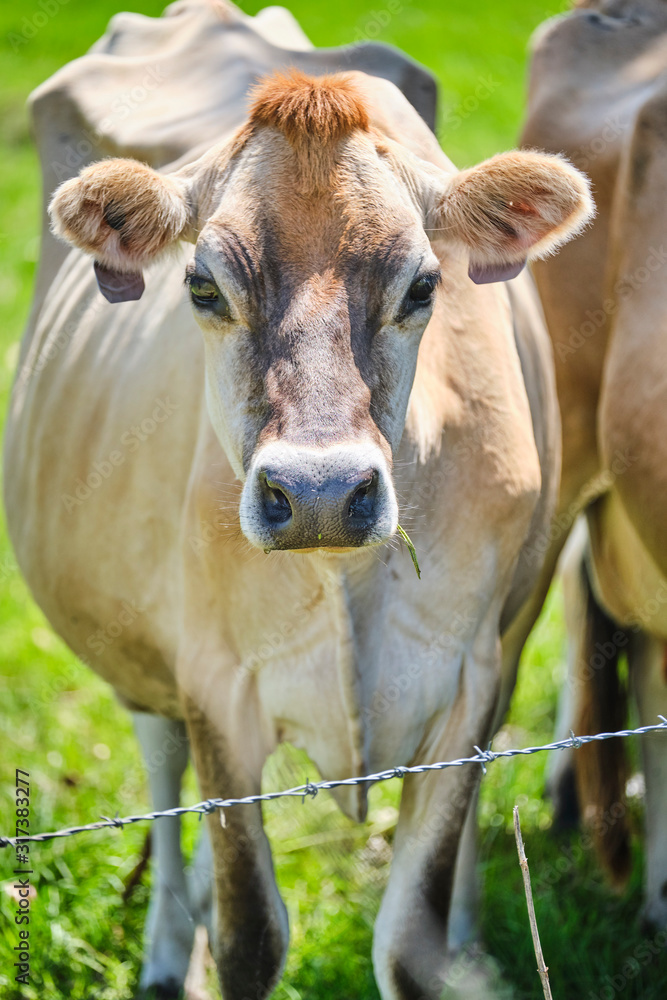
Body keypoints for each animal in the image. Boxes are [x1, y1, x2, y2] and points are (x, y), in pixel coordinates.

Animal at [2, 1, 592, 1000]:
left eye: (424, 284)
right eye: (201, 285)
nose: (319, 492)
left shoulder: (469, 677)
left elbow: (410, 939)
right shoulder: (216, 688)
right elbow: (248, 935)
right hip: (142, 659)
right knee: (161, 774)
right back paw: (168, 950)